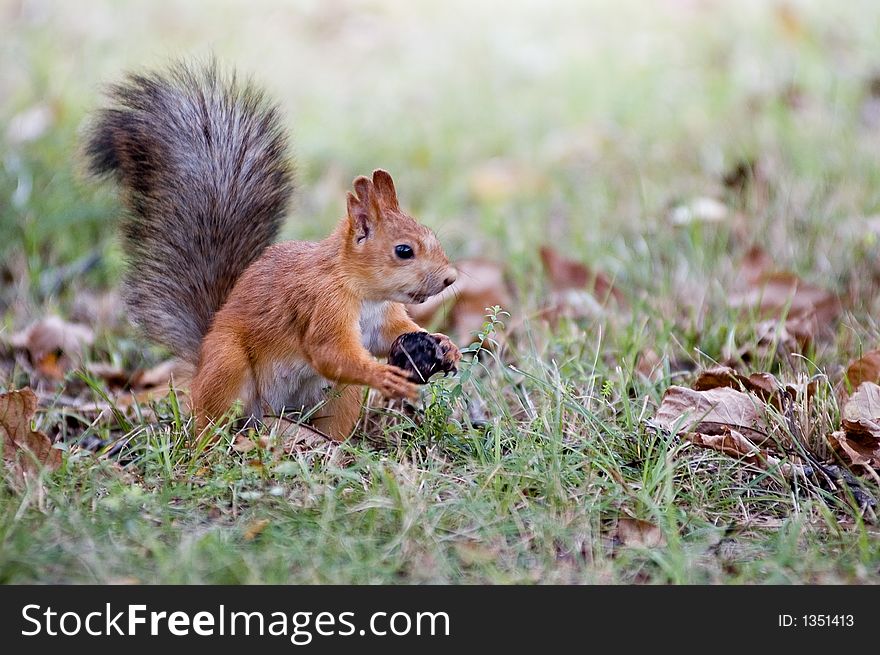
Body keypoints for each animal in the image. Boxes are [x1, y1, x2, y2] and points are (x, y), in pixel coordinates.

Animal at [82, 61, 460, 440]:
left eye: (431, 235)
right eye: (404, 251)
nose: (450, 278)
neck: (361, 291)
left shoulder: (382, 318)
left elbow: (389, 336)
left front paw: (445, 344)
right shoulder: (323, 305)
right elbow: (330, 352)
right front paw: (384, 376)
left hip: (338, 396)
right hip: (227, 363)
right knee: (210, 419)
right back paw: (208, 441)